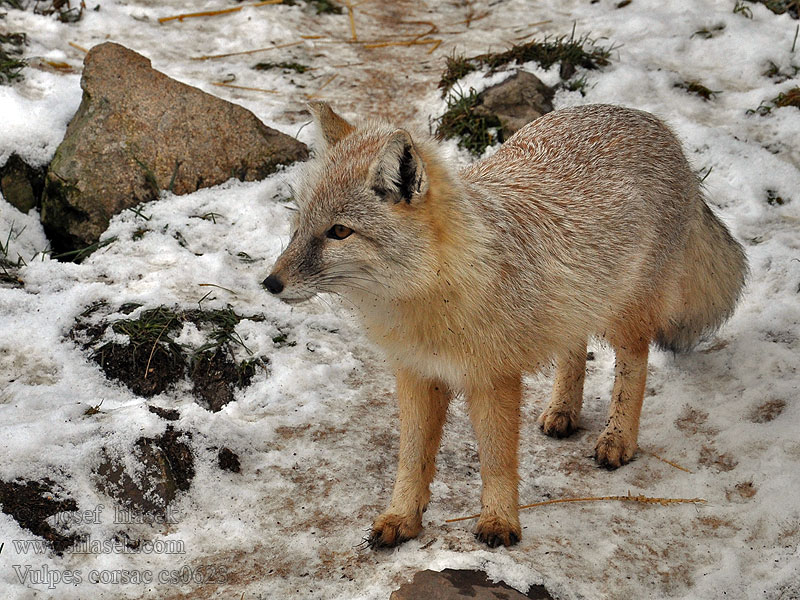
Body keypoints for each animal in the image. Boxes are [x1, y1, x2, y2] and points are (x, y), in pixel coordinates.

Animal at [266, 102, 748, 548]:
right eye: (300, 224)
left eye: (339, 232)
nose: (270, 283)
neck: (432, 298)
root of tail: (650, 119)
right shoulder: (417, 374)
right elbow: (411, 459)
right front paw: (402, 517)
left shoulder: (492, 379)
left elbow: (497, 460)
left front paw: (500, 521)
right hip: (572, 306)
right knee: (573, 349)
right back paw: (563, 411)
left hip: (624, 315)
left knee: (634, 366)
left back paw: (618, 438)